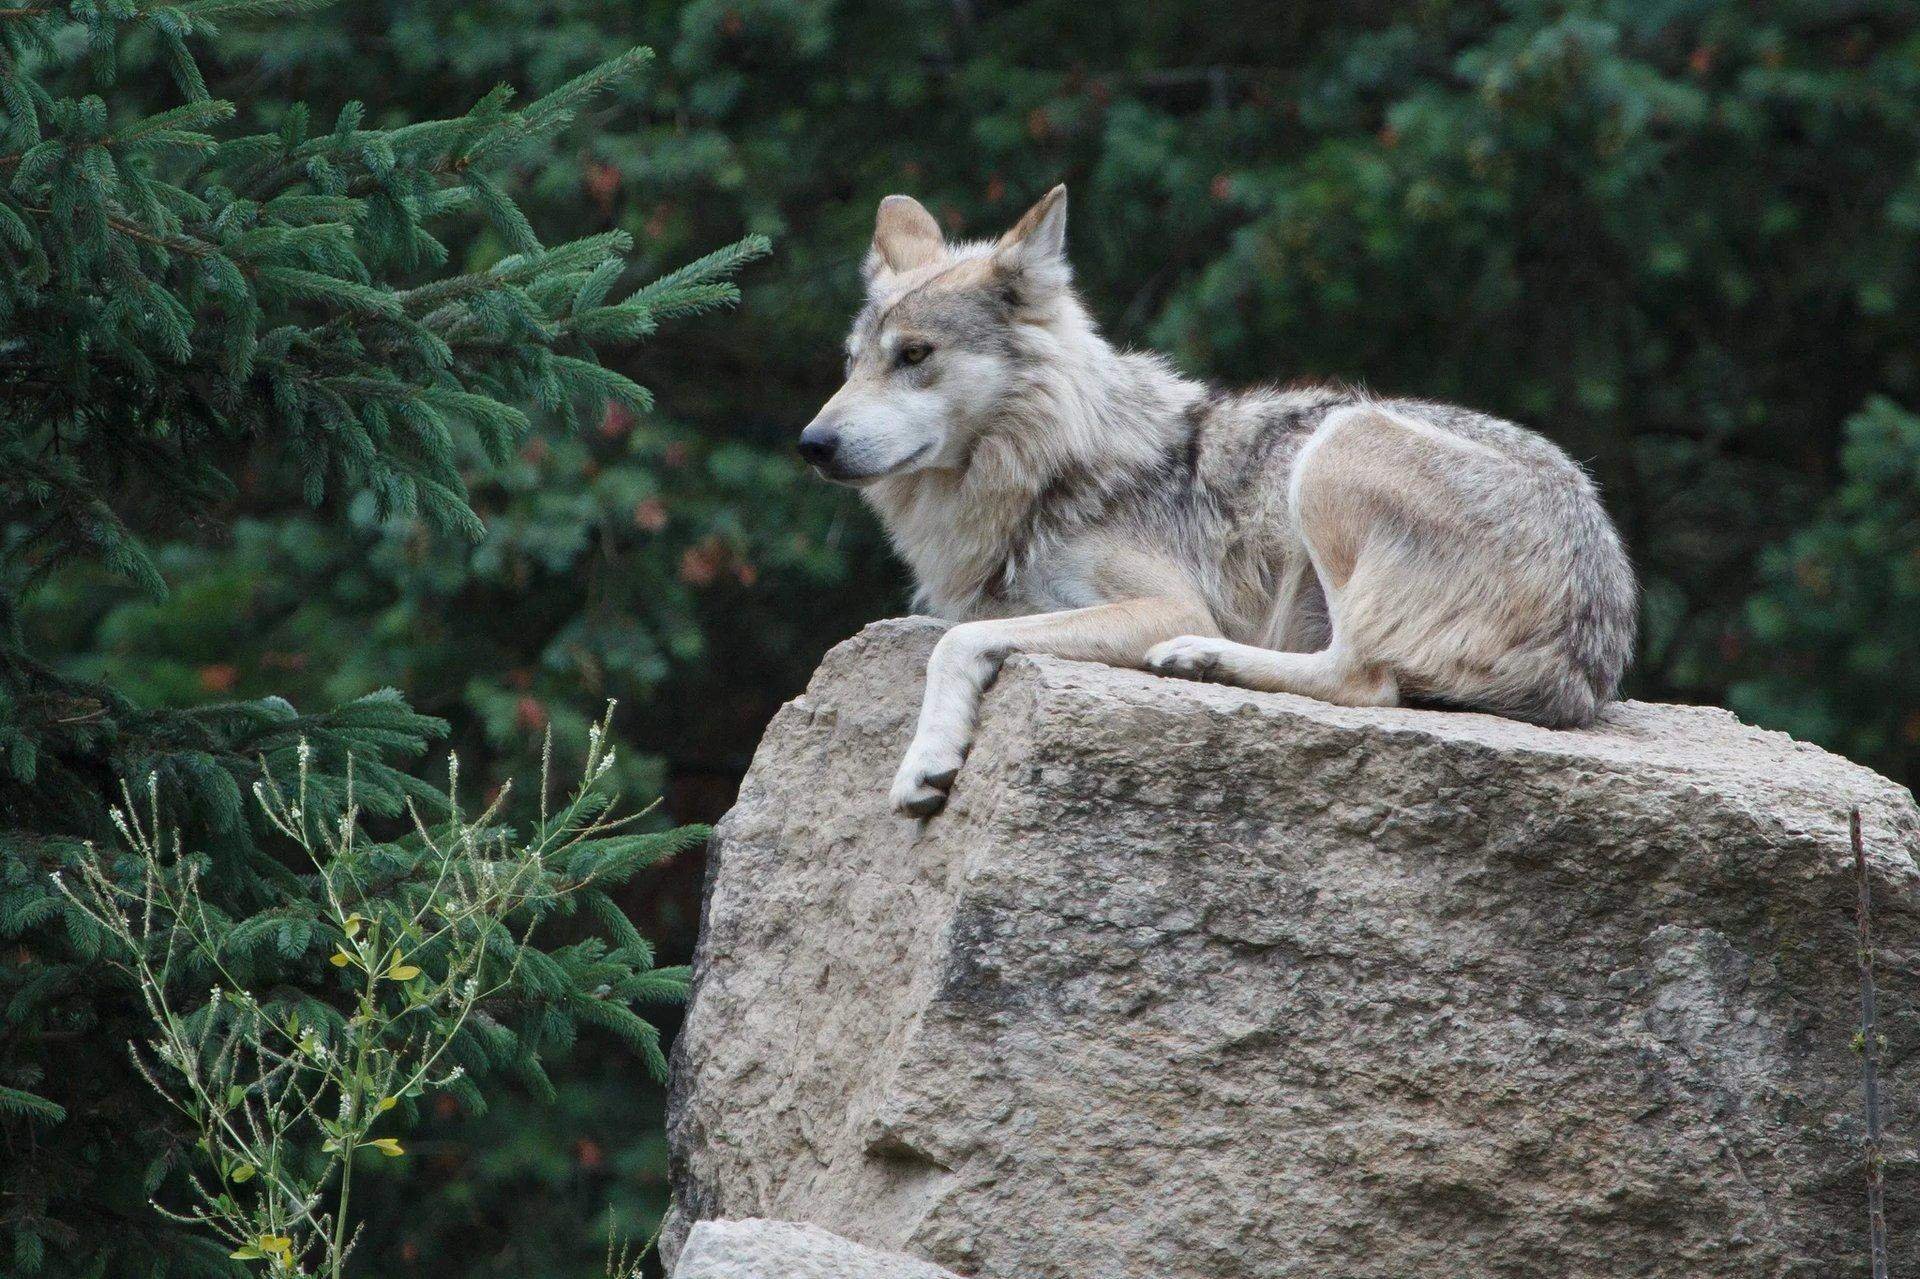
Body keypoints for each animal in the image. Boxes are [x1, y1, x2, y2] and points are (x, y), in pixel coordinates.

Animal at [794, 184, 1635, 810]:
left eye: (915, 355)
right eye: (852, 361)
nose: (812, 443)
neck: (1048, 465)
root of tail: (1591, 663)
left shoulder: (1163, 602)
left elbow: (956, 641)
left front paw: (924, 758)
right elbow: (959, 630)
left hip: (1337, 445)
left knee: (1365, 678)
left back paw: (1202, 658)